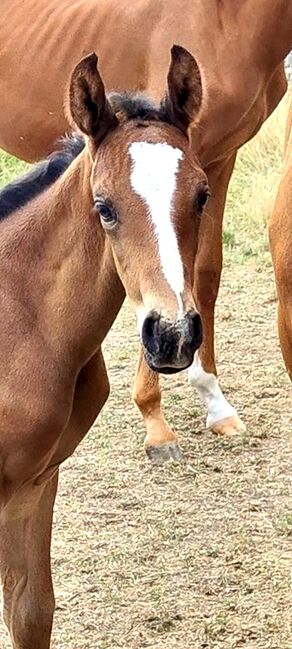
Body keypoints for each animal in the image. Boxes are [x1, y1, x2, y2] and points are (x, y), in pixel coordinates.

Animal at [0, 0, 292, 460]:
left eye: (201, 197)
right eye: (102, 208)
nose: (174, 339)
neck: (228, 20)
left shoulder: (220, 158)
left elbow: (204, 272)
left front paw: (215, 402)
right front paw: (156, 422)